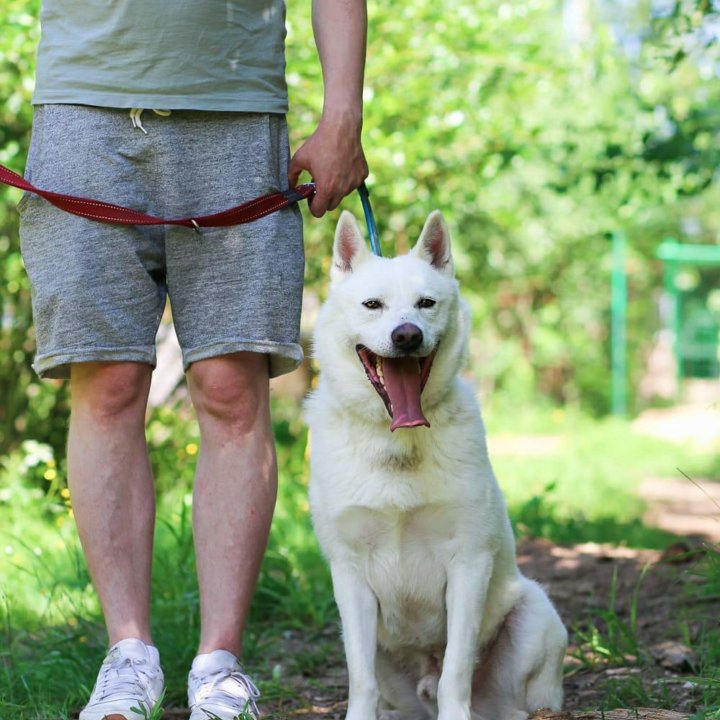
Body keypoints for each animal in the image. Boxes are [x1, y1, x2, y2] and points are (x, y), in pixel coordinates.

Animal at [306, 210, 568, 720]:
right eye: (372, 305)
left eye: (426, 303)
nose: (407, 335)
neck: (397, 443)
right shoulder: (350, 574)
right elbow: (360, 680)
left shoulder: (468, 564)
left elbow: (456, 671)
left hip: (536, 614)